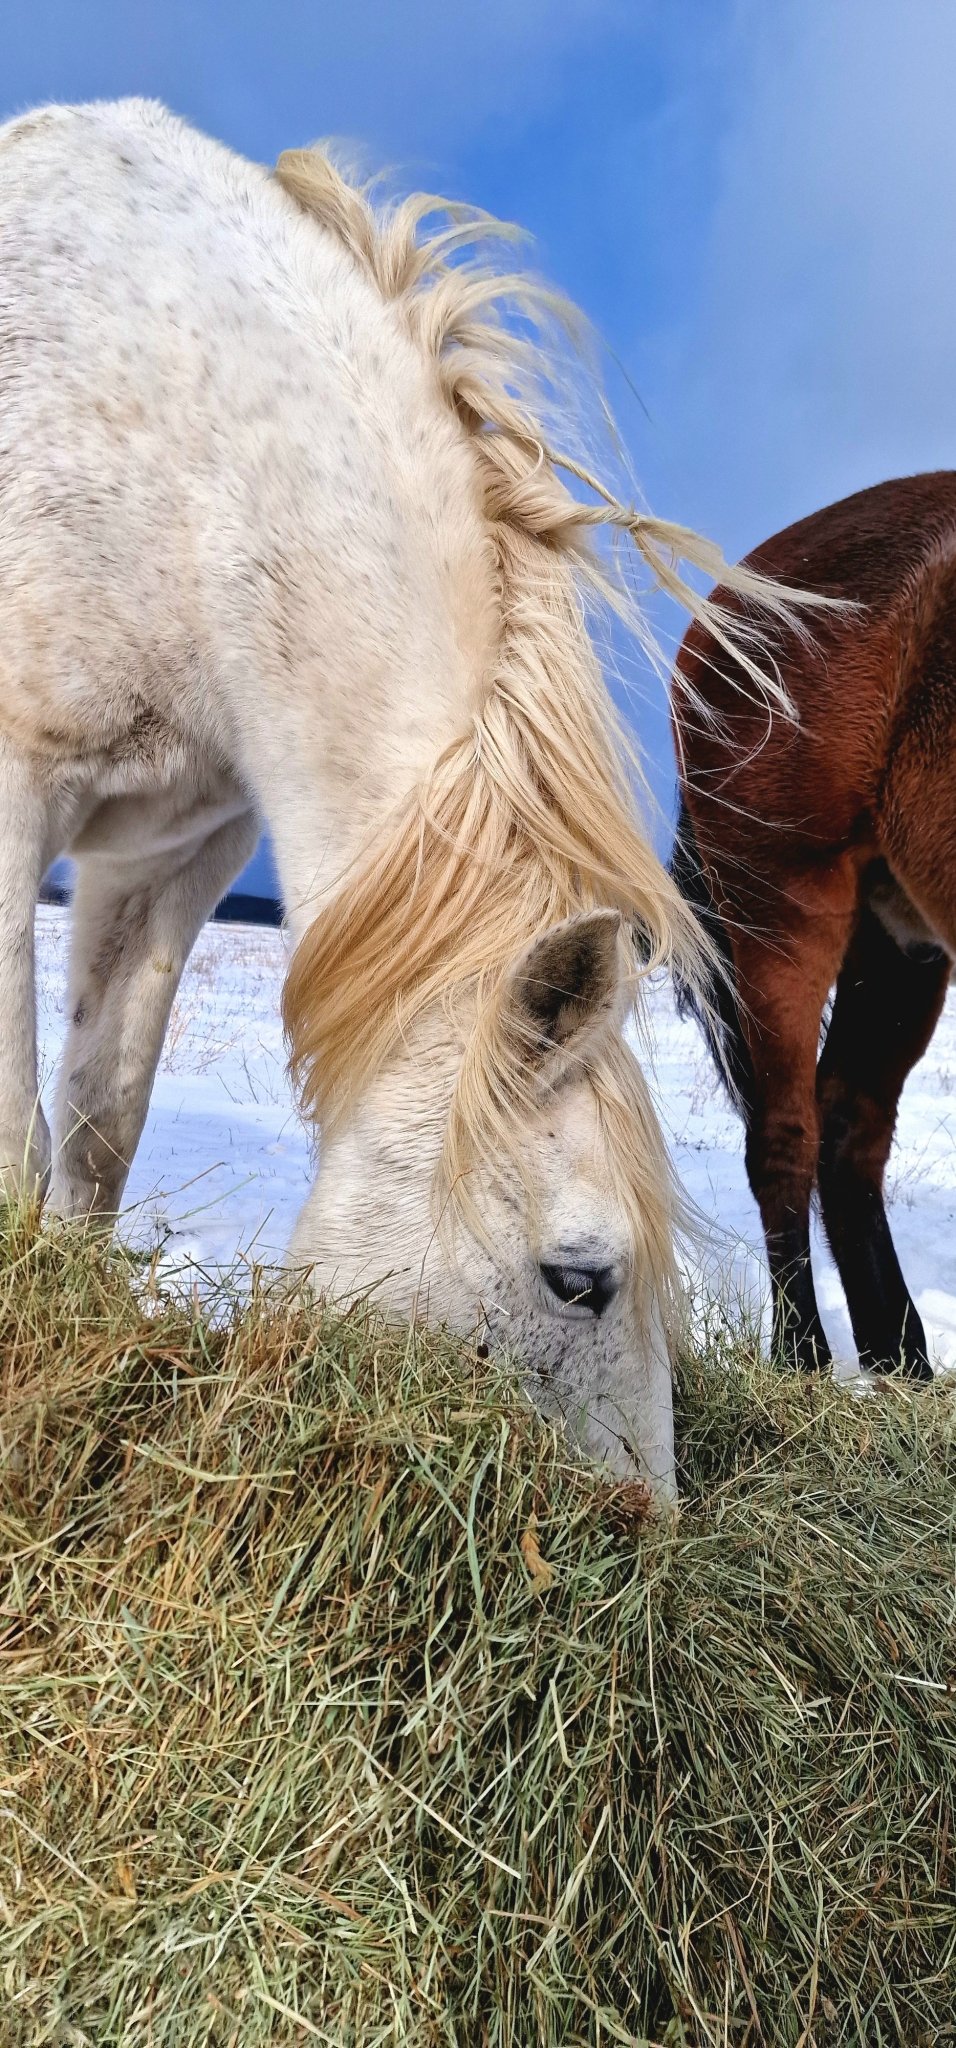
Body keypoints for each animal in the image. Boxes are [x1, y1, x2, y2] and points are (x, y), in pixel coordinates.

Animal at [0, 98, 783, 1503]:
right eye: (578, 1279)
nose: (643, 1526)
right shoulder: (17, 785)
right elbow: (14, 1136)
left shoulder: (176, 852)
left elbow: (99, 1124)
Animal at [671, 470, 956, 1382]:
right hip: (785, 914)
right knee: (787, 1136)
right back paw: (799, 1353)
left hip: (898, 939)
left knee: (849, 1130)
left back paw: (899, 1355)